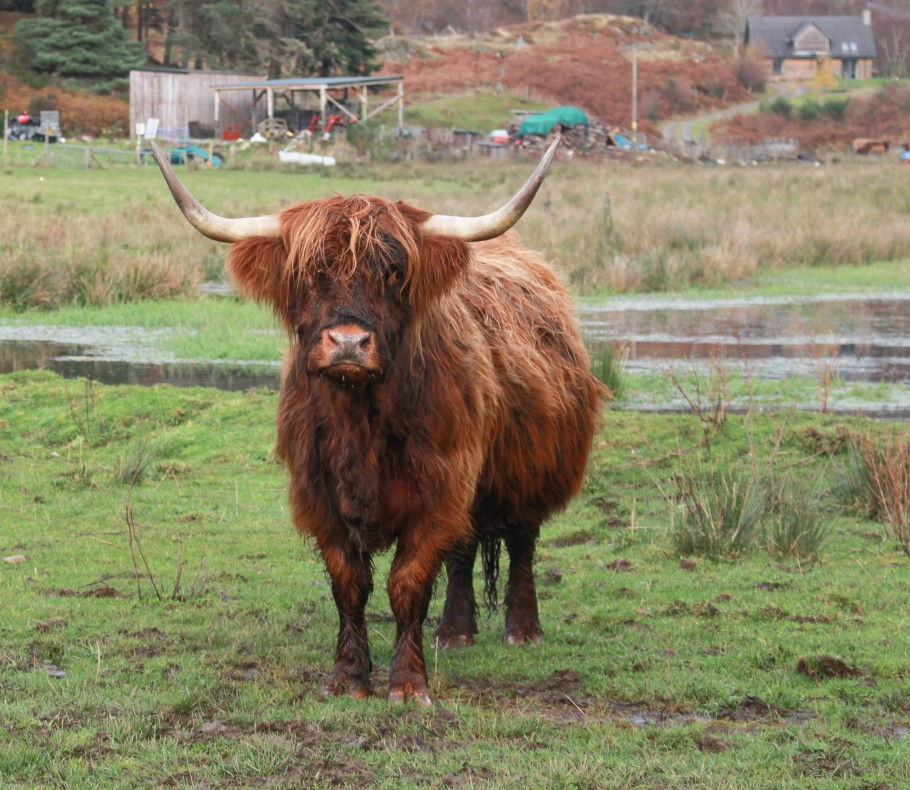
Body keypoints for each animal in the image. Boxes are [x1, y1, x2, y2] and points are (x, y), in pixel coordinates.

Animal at [151, 136, 604, 704]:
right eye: (311, 274)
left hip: (530, 466)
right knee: (464, 550)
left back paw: (522, 629)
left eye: (392, 273)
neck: (359, 420)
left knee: (520, 540)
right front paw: (349, 677)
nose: (348, 342)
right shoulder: (322, 497)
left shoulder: (437, 491)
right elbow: (350, 586)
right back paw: (455, 631)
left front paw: (408, 684)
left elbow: (407, 585)